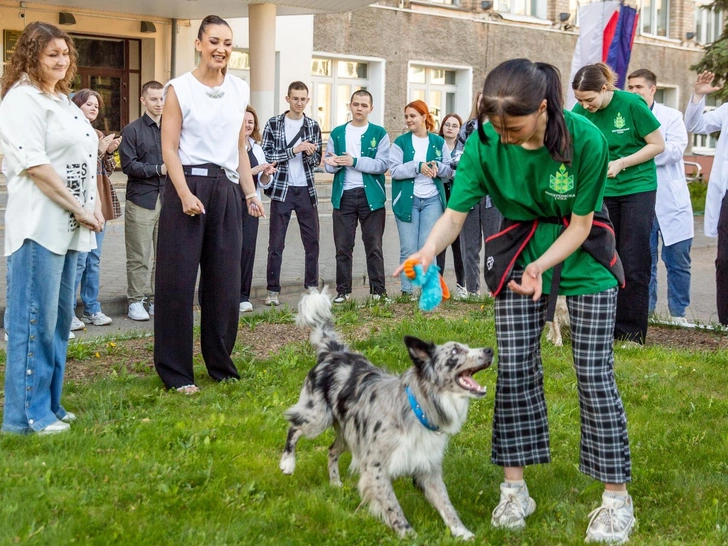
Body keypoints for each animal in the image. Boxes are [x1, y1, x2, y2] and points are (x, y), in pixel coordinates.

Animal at [280, 286, 494, 536]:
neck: (416, 408)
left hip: (348, 434)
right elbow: (393, 505)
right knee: (294, 427)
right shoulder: (376, 467)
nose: (490, 350)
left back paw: (335, 483)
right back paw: (287, 463)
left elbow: (445, 503)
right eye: (454, 352)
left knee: (331, 450)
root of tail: (332, 352)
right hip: (317, 418)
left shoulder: (427, 467)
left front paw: (462, 532)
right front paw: (408, 534)